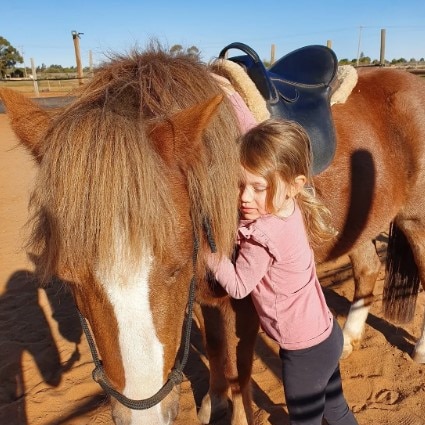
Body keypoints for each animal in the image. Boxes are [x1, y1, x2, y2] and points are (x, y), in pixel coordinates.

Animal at [0, 45, 424, 424]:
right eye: (69, 280)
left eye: (173, 269)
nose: (145, 418)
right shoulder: (204, 292)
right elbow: (218, 347)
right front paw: (213, 403)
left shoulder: (246, 299)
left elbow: (240, 368)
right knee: (367, 270)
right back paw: (347, 340)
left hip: (415, 221)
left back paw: (418, 350)